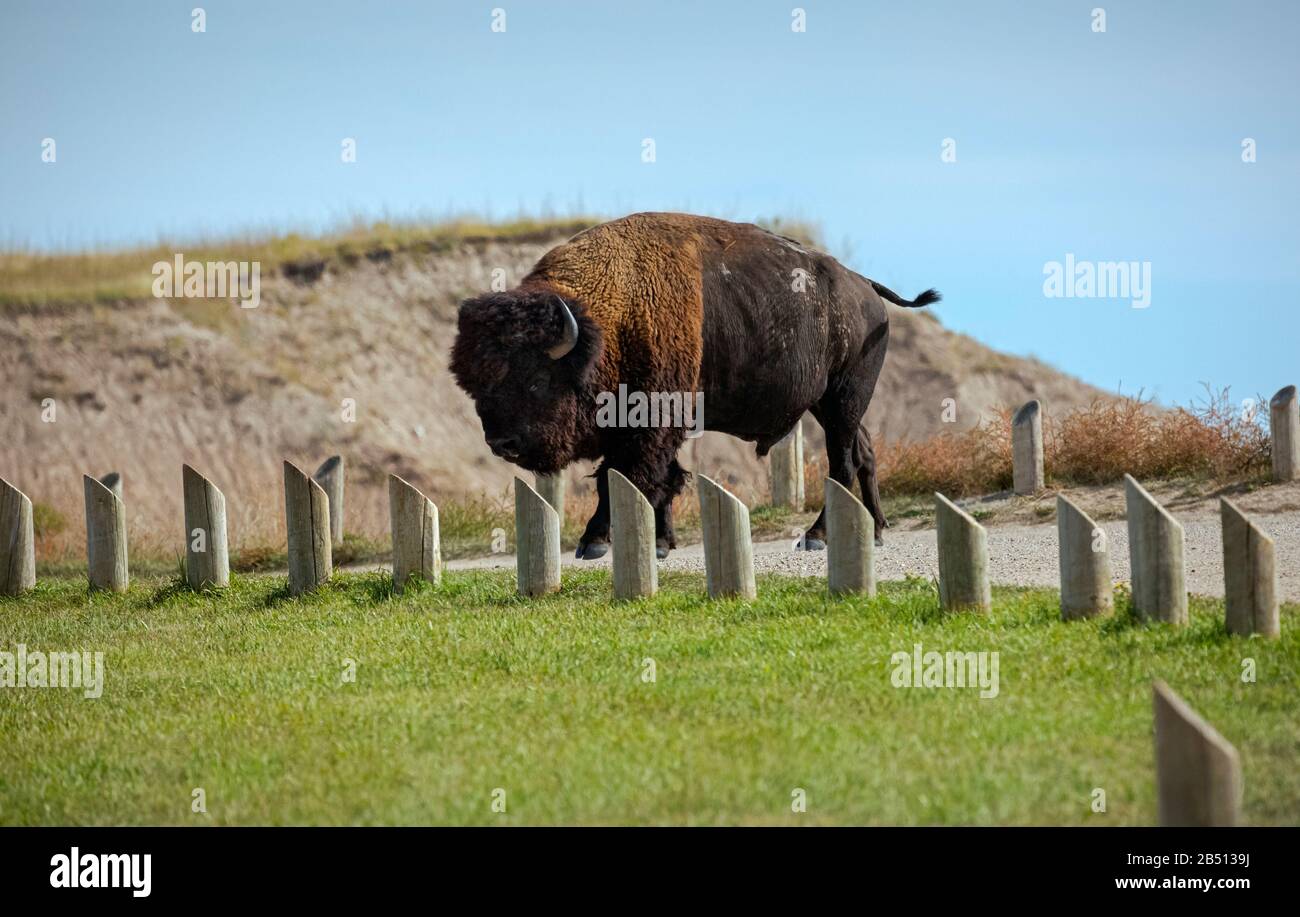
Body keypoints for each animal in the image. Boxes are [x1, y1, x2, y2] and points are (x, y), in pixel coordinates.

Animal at [447, 213, 935, 556]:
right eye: (475, 386)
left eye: (534, 380)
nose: (502, 443)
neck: (609, 322)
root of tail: (866, 287)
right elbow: (662, 477)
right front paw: (662, 543)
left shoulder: (651, 420)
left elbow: (624, 477)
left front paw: (595, 542)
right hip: (831, 403)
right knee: (863, 452)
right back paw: (876, 531)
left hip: (843, 398)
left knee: (842, 464)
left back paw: (818, 537)